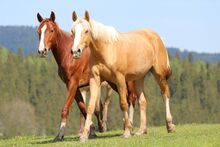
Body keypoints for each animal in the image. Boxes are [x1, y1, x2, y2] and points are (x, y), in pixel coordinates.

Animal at [37, 11, 137, 141]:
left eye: (51, 30)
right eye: (38, 31)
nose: (42, 51)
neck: (69, 56)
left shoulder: (73, 84)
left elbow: (66, 108)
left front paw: (60, 135)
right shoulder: (76, 87)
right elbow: (83, 108)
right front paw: (91, 131)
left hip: (124, 82)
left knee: (131, 99)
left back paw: (130, 126)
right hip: (113, 82)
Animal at [70, 10, 175, 142]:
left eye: (86, 31)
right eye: (72, 31)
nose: (75, 51)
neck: (107, 50)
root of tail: (157, 37)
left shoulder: (119, 79)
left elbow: (123, 103)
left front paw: (127, 131)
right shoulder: (95, 79)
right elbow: (90, 106)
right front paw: (84, 136)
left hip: (159, 74)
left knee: (165, 94)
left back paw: (170, 126)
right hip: (139, 78)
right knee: (142, 101)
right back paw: (141, 130)